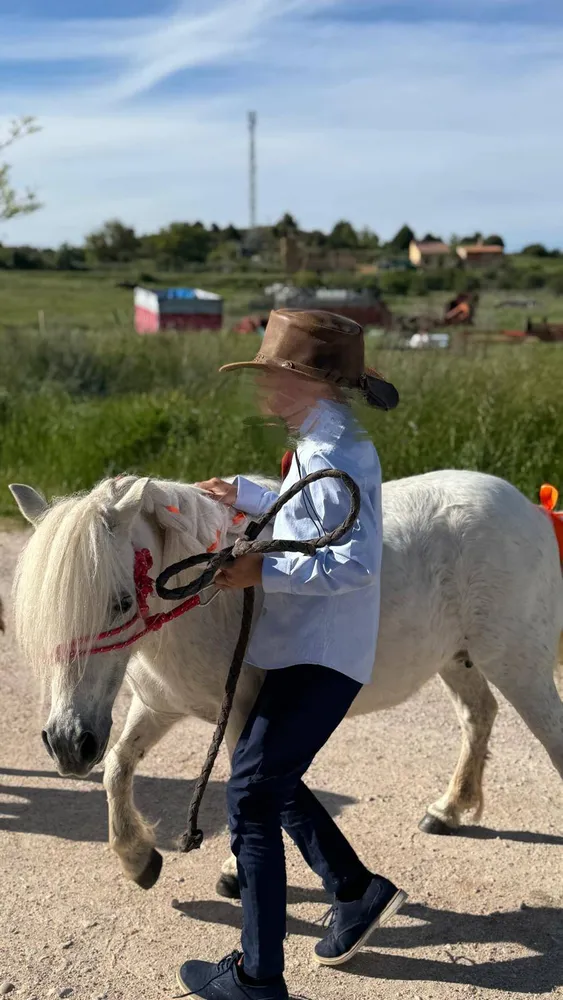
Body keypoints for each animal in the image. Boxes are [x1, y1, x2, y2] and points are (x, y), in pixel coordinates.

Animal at [9, 469, 563, 899]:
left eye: (121, 602)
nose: (67, 744)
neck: (205, 605)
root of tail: (531, 511)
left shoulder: (242, 713)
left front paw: (233, 873)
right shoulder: (159, 707)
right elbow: (118, 768)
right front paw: (137, 858)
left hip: (519, 664)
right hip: (458, 660)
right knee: (478, 716)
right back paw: (448, 810)